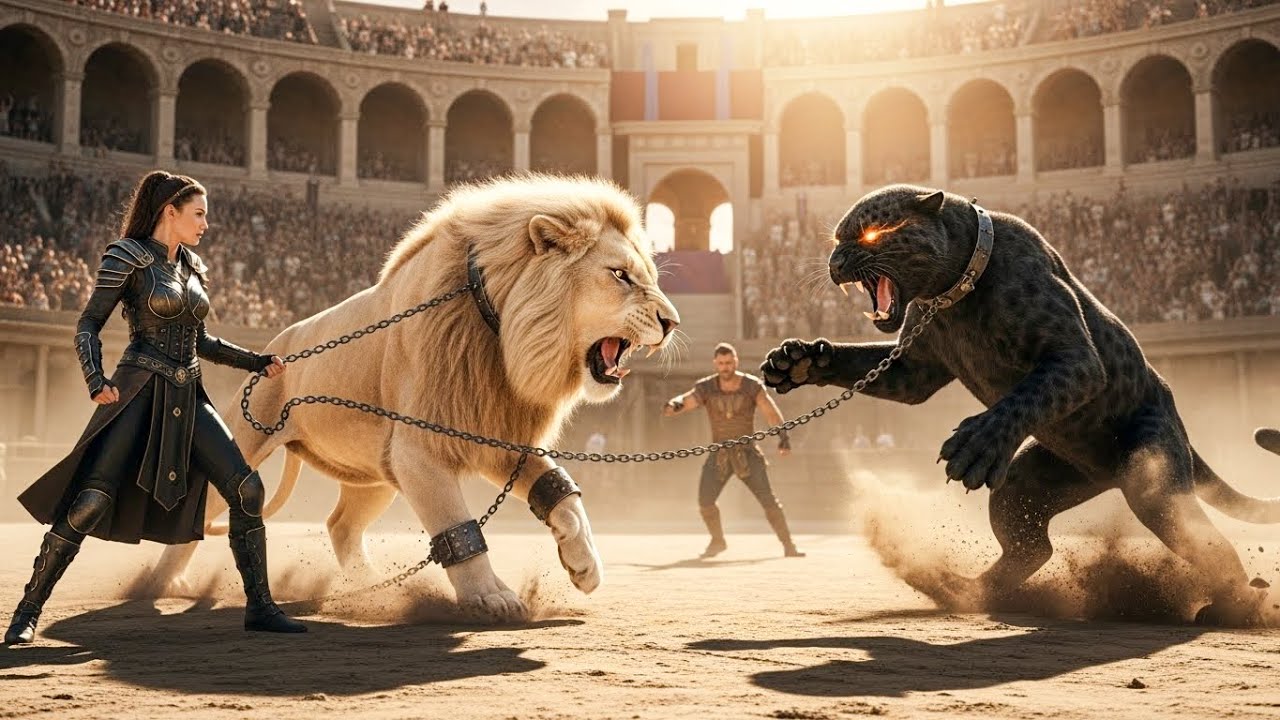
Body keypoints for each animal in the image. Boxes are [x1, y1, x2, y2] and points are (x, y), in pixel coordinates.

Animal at [148, 174, 681, 621]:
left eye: (649, 276)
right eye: (620, 275)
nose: (672, 322)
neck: (501, 337)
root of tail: (276, 344)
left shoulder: (496, 437)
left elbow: (561, 492)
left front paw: (584, 563)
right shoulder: (420, 448)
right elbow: (458, 527)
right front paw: (491, 596)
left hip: (373, 475)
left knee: (340, 525)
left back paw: (368, 588)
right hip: (248, 441)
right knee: (207, 511)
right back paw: (161, 583)